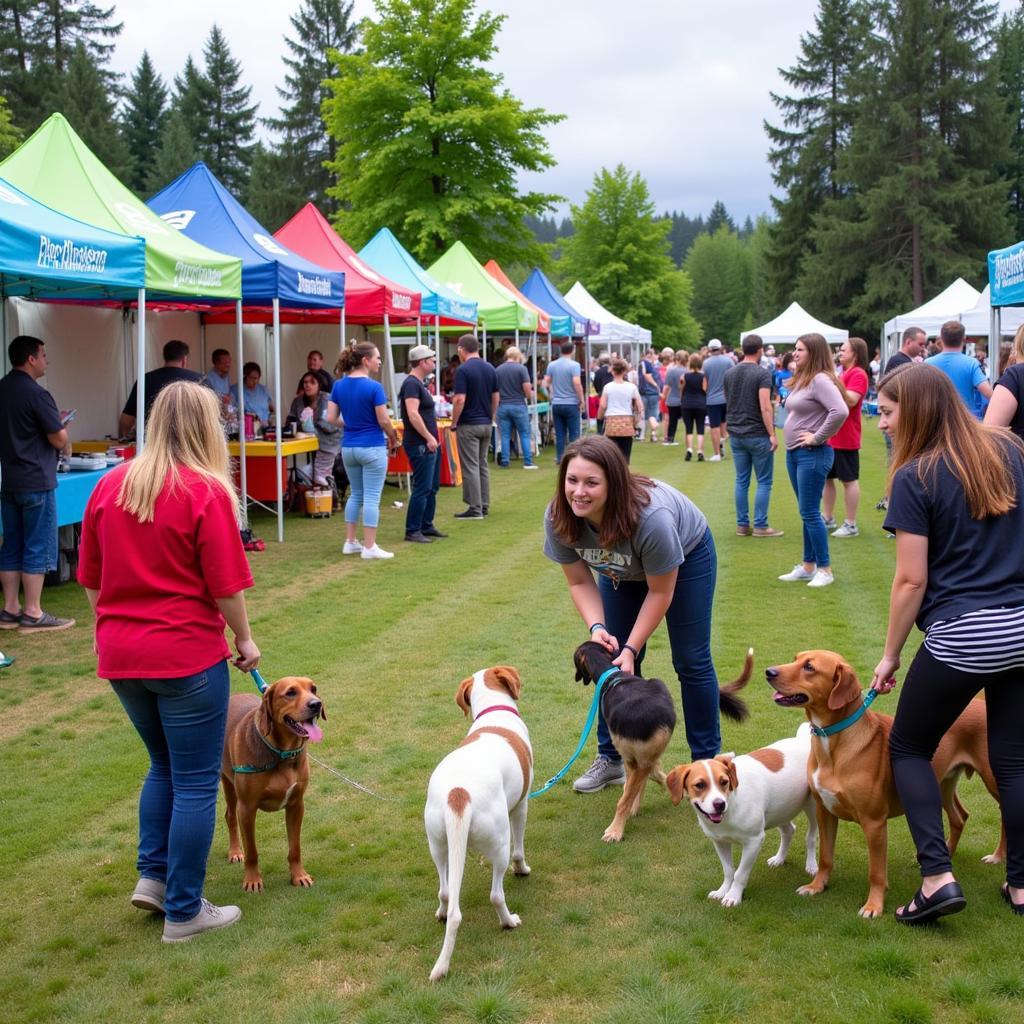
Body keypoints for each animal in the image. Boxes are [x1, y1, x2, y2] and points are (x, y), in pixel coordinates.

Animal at [220, 675, 323, 892]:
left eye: (313, 689)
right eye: (291, 693)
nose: (316, 704)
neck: (283, 753)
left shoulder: (296, 805)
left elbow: (295, 847)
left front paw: (299, 875)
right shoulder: (247, 809)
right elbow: (252, 851)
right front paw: (252, 880)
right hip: (228, 784)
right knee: (230, 816)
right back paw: (235, 851)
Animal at [423, 663, 536, 983]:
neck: (493, 710)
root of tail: (458, 794)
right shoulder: (521, 805)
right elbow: (520, 850)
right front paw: (523, 869)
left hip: (438, 843)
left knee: (445, 890)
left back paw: (443, 913)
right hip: (498, 842)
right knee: (496, 894)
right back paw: (509, 921)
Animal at [577, 643, 753, 843]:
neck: (614, 677)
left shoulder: (636, 759)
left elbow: (626, 797)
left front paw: (615, 830)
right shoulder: (634, 759)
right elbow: (639, 784)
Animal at [667, 724, 819, 909]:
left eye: (724, 782)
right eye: (700, 785)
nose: (719, 804)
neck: (732, 805)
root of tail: (803, 740)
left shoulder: (754, 841)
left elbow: (740, 873)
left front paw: (733, 895)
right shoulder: (719, 841)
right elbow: (728, 870)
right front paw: (723, 890)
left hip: (812, 807)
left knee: (810, 837)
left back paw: (811, 865)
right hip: (780, 809)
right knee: (789, 830)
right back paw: (779, 858)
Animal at [765, 651, 1003, 925]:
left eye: (809, 667)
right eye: (796, 658)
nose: (769, 672)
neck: (834, 743)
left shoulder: (874, 823)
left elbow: (876, 872)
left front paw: (874, 905)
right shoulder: (825, 812)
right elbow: (825, 857)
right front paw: (817, 886)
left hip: (994, 779)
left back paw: (998, 858)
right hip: (941, 783)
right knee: (959, 817)